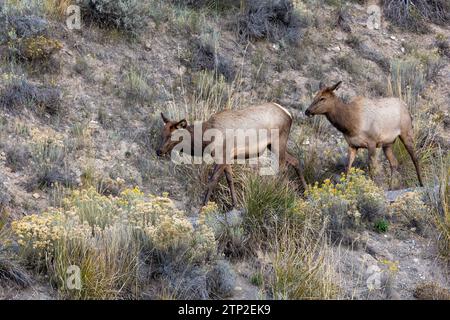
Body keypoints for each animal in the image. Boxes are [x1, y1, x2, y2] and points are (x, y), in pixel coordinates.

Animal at [156, 102, 308, 208]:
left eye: (173, 136)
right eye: (162, 133)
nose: (159, 151)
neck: (206, 140)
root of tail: (289, 114)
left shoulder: (221, 155)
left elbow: (213, 180)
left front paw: (203, 205)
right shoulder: (227, 157)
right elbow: (230, 179)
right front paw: (234, 205)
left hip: (278, 142)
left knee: (282, 168)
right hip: (273, 145)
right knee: (295, 161)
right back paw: (306, 193)